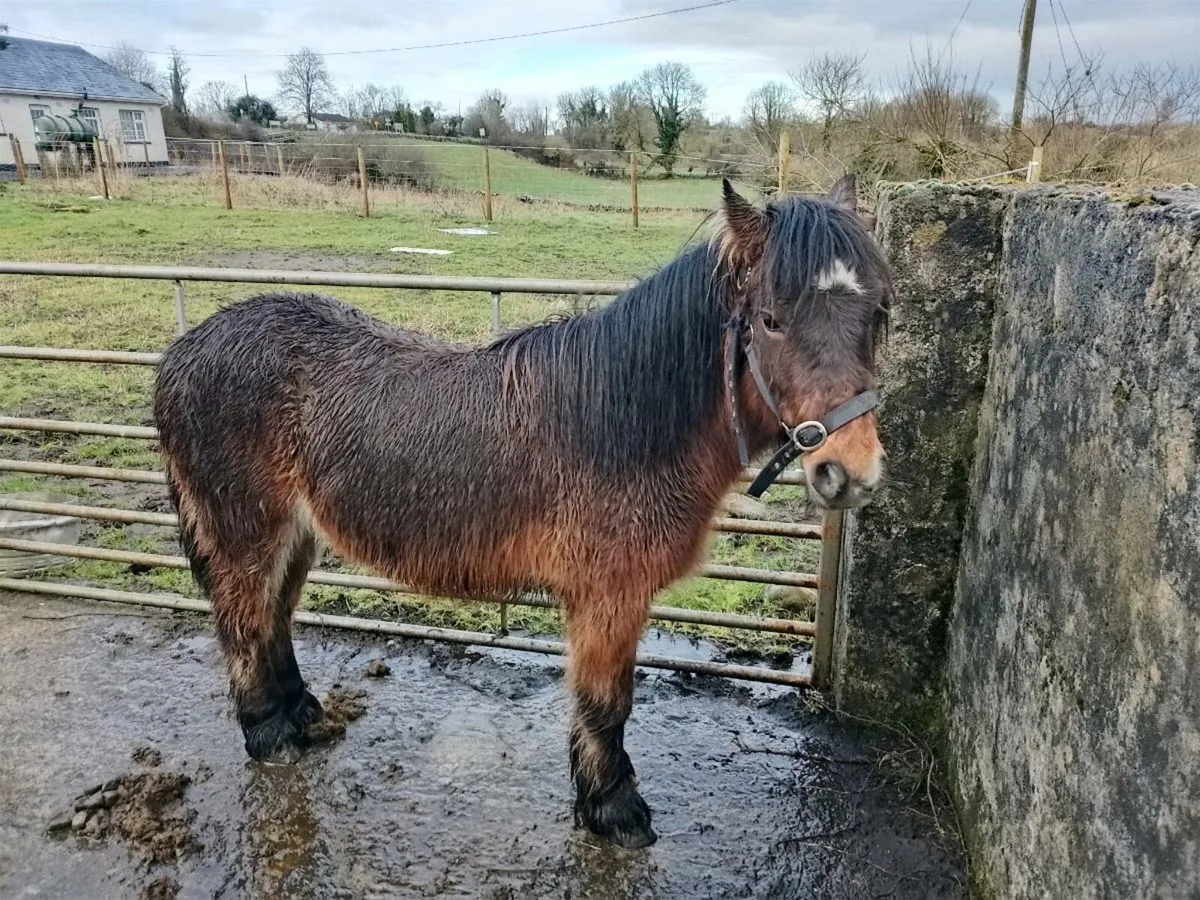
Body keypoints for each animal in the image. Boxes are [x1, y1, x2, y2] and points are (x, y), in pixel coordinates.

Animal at [152, 176, 893, 850]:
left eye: (876, 319)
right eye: (771, 320)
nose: (852, 473)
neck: (623, 420)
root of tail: (182, 353)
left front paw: (601, 796)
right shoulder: (608, 597)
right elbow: (608, 703)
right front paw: (613, 809)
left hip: (296, 534)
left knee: (273, 614)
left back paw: (301, 713)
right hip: (245, 531)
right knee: (243, 621)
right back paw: (269, 733)